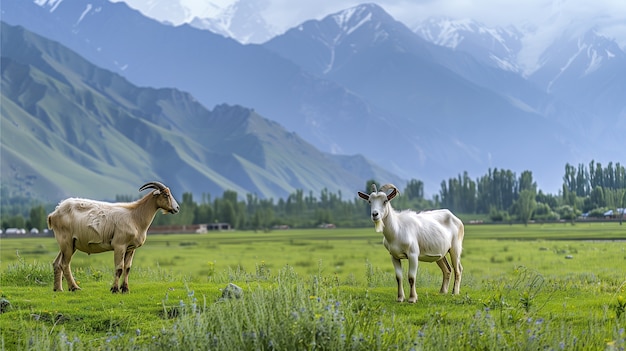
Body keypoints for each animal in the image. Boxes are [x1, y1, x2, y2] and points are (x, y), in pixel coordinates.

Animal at [45, 183, 178, 292]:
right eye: (166, 194)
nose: (177, 208)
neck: (135, 216)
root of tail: (53, 213)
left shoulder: (131, 248)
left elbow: (127, 268)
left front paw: (125, 289)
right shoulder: (119, 245)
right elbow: (119, 268)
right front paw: (114, 289)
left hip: (69, 244)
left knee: (57, 263)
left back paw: (58, 289)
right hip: (66, 241)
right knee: (64, 264)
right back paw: (74, 288)